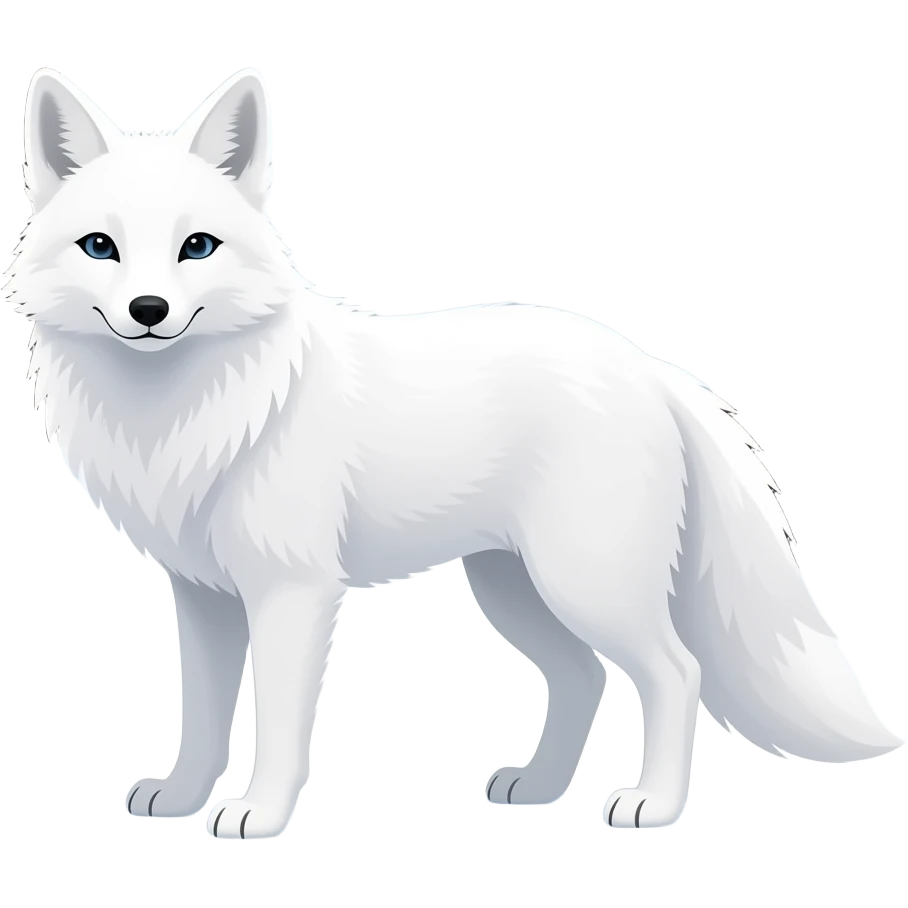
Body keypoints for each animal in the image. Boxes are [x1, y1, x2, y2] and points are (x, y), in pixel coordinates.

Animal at [5, 66, 903, 839]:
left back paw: (653, 804)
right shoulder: (200, 598)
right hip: (512, 590)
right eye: (100, 247)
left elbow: (275, 723)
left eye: (197, 247)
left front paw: (259, 814)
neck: (190, 411)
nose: (148, 310)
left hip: (585, 585)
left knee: (675, 673)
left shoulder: (293, 594)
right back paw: (539, 789)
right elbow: (199, 713)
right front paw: (183, 799)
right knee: (584, 679)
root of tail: (650, 367)